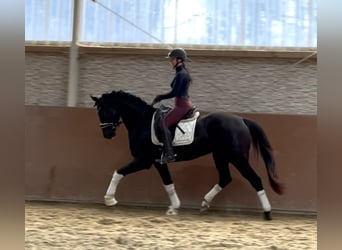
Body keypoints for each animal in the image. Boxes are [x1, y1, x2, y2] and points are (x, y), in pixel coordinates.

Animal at [90, 91, 284, 220]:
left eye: (103, 111)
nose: (107, 134)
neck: (142, 122)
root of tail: (242, 120)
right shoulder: (158, 162)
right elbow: (168, 183)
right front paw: (174, 207)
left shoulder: (143, 160)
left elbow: (118, 172)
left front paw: (109, 199)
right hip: (220, 156)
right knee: (225, 178)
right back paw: (205, 202)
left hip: (237, 158)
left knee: (255, 179)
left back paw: (267, 212)